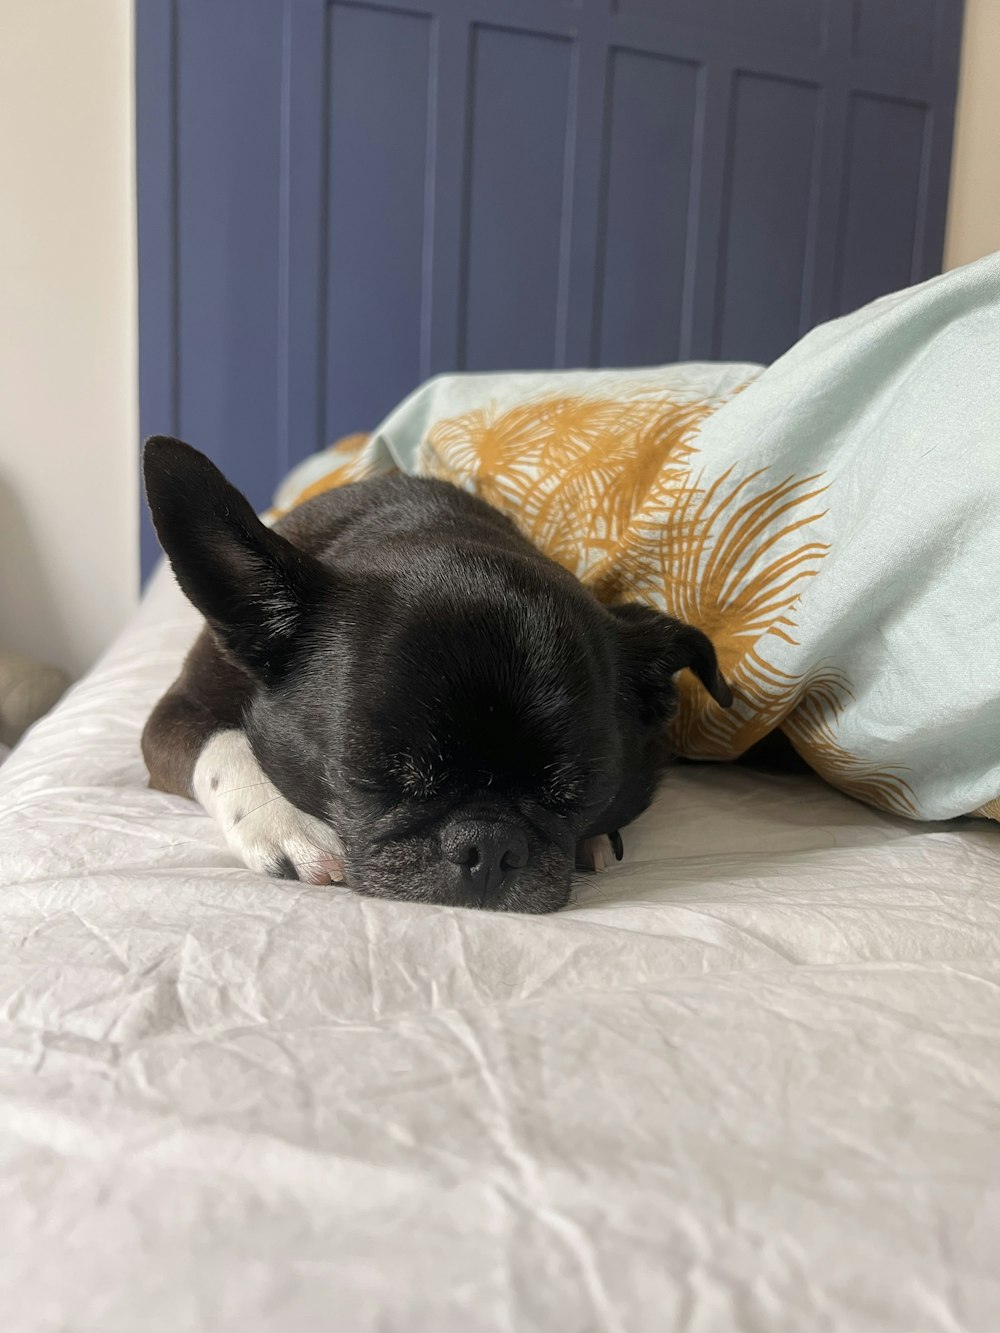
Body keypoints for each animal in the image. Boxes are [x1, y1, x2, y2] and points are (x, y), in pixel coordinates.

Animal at [141, 442, 730, 911]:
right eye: (368, 778)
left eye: (579, 796)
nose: (488, 844)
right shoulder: (177, 709)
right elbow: (222, 746)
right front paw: (285, 823)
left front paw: (594, 835)